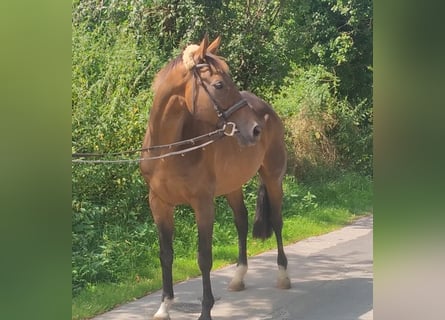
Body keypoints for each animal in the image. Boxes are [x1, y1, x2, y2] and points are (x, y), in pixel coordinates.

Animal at [140, 35, 290, 320]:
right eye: (219, 84)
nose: (255, 129)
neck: (170, 150)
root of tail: (266, 109)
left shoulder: (203, 204)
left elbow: (204, 257)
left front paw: (205, 311)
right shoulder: (159, 203)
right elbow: (166, 254)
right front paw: (164, 307)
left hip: (273, 176)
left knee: (277, 221)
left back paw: (283, 276)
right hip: (232, 185)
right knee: (241, 221)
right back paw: (238, 277)